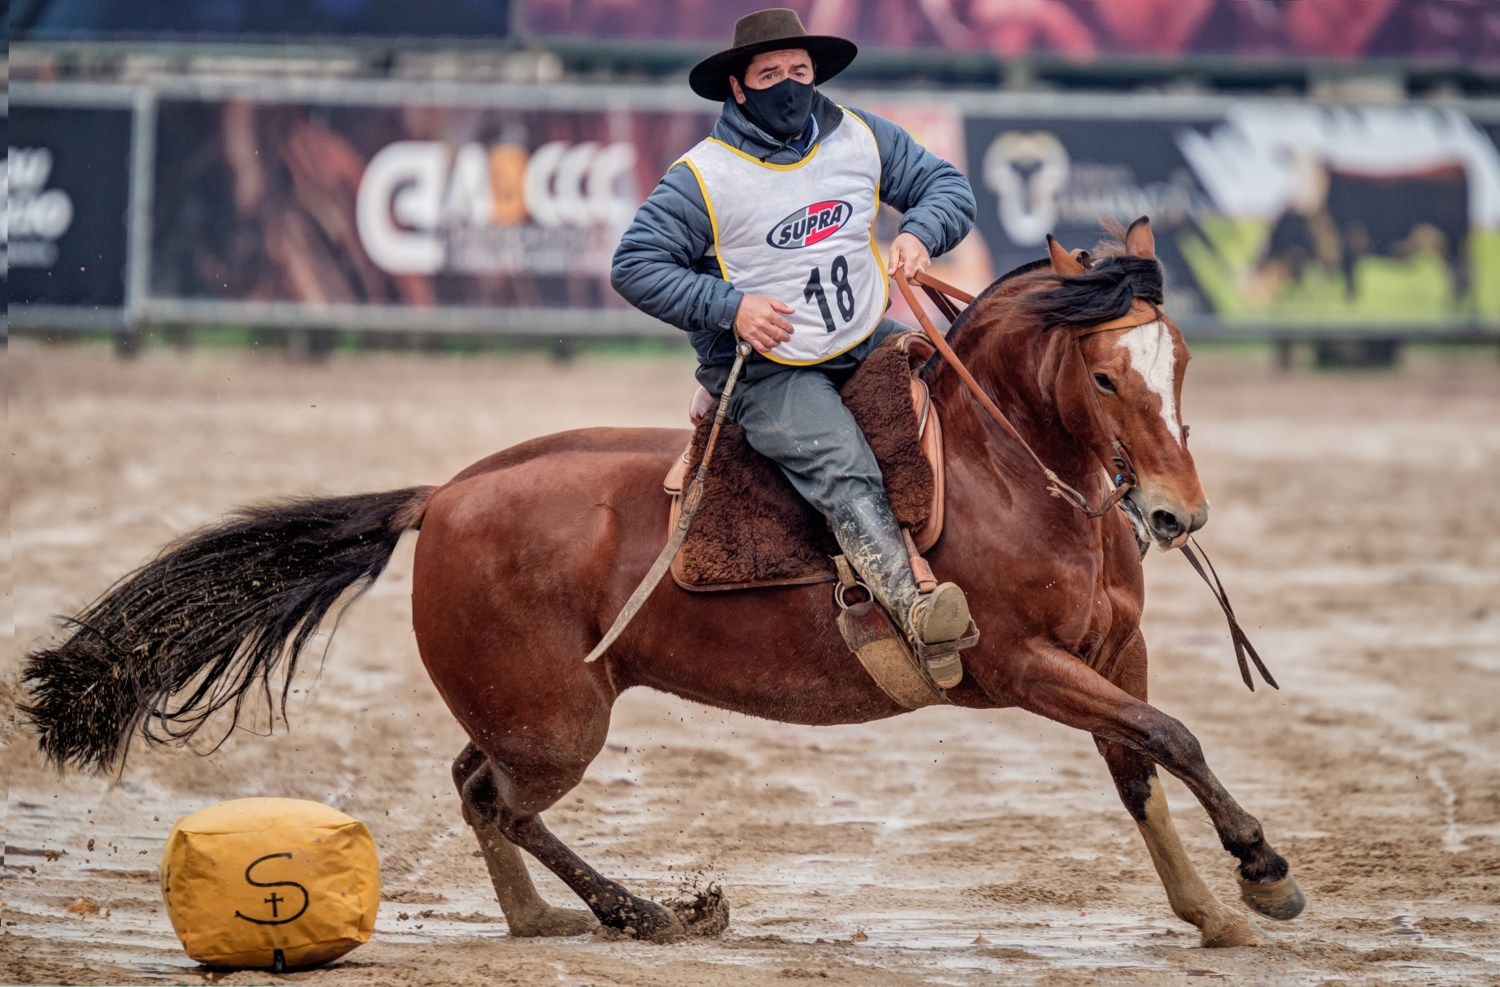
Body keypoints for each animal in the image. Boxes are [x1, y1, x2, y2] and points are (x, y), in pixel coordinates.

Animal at [20, 217, 1302, 948]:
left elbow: (1139, 764)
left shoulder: (1111, 656)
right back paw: (642, 913)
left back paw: (553, 917)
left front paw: (1209, 911)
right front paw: (1264, 873)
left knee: (476, 790)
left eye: (1180, 360)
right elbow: (1175, 737)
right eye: (1104, 375)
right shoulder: (1022, 667)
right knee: (498, 799)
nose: (1176, 514)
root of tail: (442, 496)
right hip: (558, 724)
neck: (1006, 471)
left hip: (534, 713)